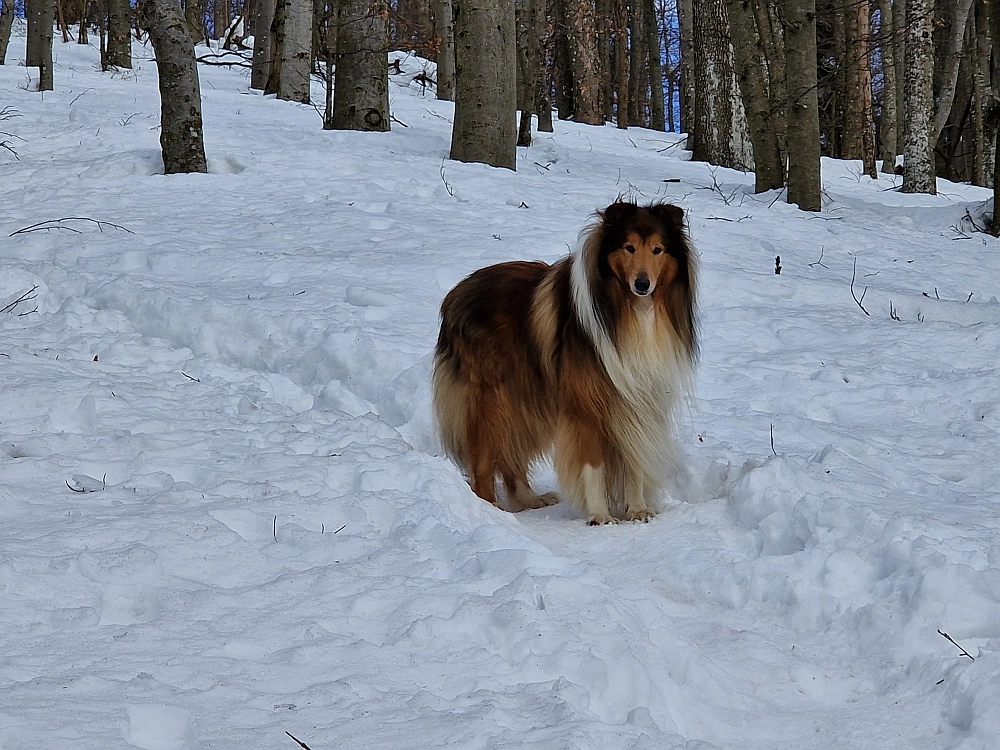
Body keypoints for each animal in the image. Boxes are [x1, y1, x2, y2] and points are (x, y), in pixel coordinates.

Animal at [430, 203, 696, 524]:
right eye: (629, 247)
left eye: (658, 249)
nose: (642, 284)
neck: (632, 311)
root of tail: (454, 295)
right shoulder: (587, 405)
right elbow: (593, 464)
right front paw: (600, 515)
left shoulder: (639, 399)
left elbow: (635, 461)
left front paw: (637, 509)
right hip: (491, 400)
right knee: (484, 459)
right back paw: (491, 511)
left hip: (525, 399)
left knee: (511, 453)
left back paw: (530, 498)